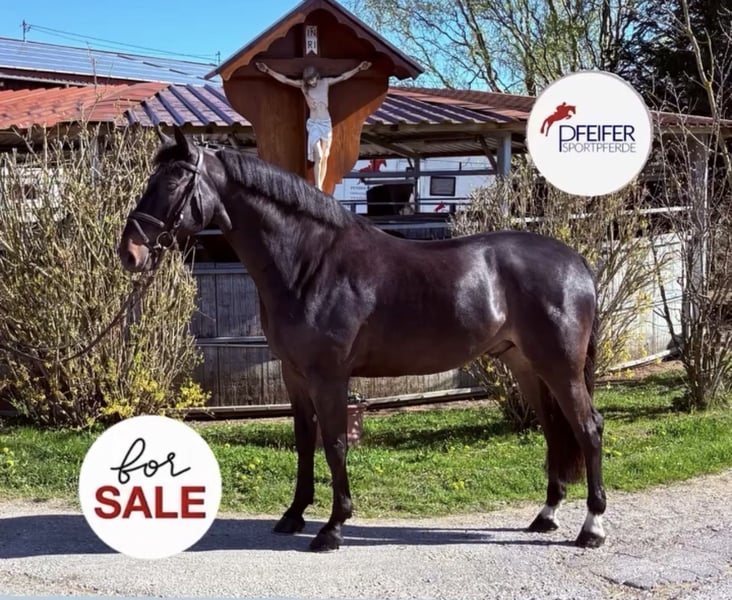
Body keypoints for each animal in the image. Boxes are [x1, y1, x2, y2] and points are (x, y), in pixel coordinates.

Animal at [118, 126, 607, 552]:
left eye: (173, 181)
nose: (130, 253)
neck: (310, 262)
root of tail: (576, 262)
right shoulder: (295, 375)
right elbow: (305, 441)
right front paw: (294, 515)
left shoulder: (329, 377)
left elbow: (334, 444)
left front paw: (333, 528)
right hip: (527, 366)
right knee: (554, 431)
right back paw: (546, 516)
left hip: (560, 367)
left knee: (588, 428)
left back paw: (592, 528)